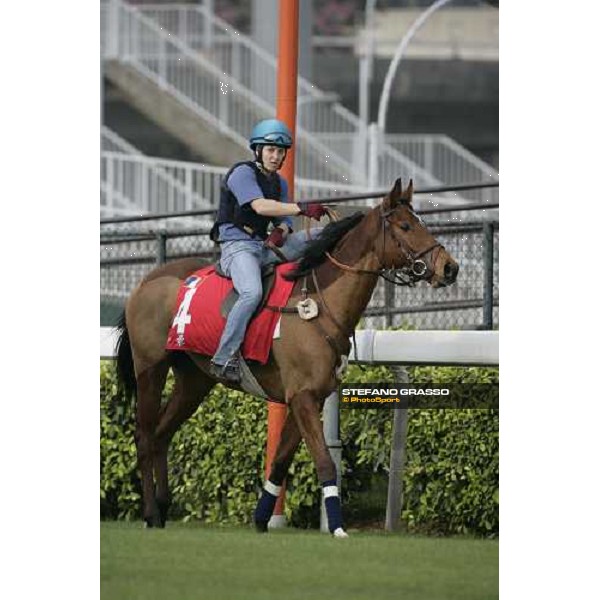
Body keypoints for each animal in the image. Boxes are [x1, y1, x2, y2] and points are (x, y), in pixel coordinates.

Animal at [113, 177, 460, 536]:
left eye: (421, 222)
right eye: (405, 226)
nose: (450, 268)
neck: (319, 304)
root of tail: (144, 282)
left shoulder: (310, 397)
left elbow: (280, 461)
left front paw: (261, 519)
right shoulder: (302, 396)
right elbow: (324, 462)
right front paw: (337, 527)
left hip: (194, 381)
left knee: (161, 434)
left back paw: (162, 509)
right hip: (151, 369)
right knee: (144, 436)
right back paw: (150, 511)